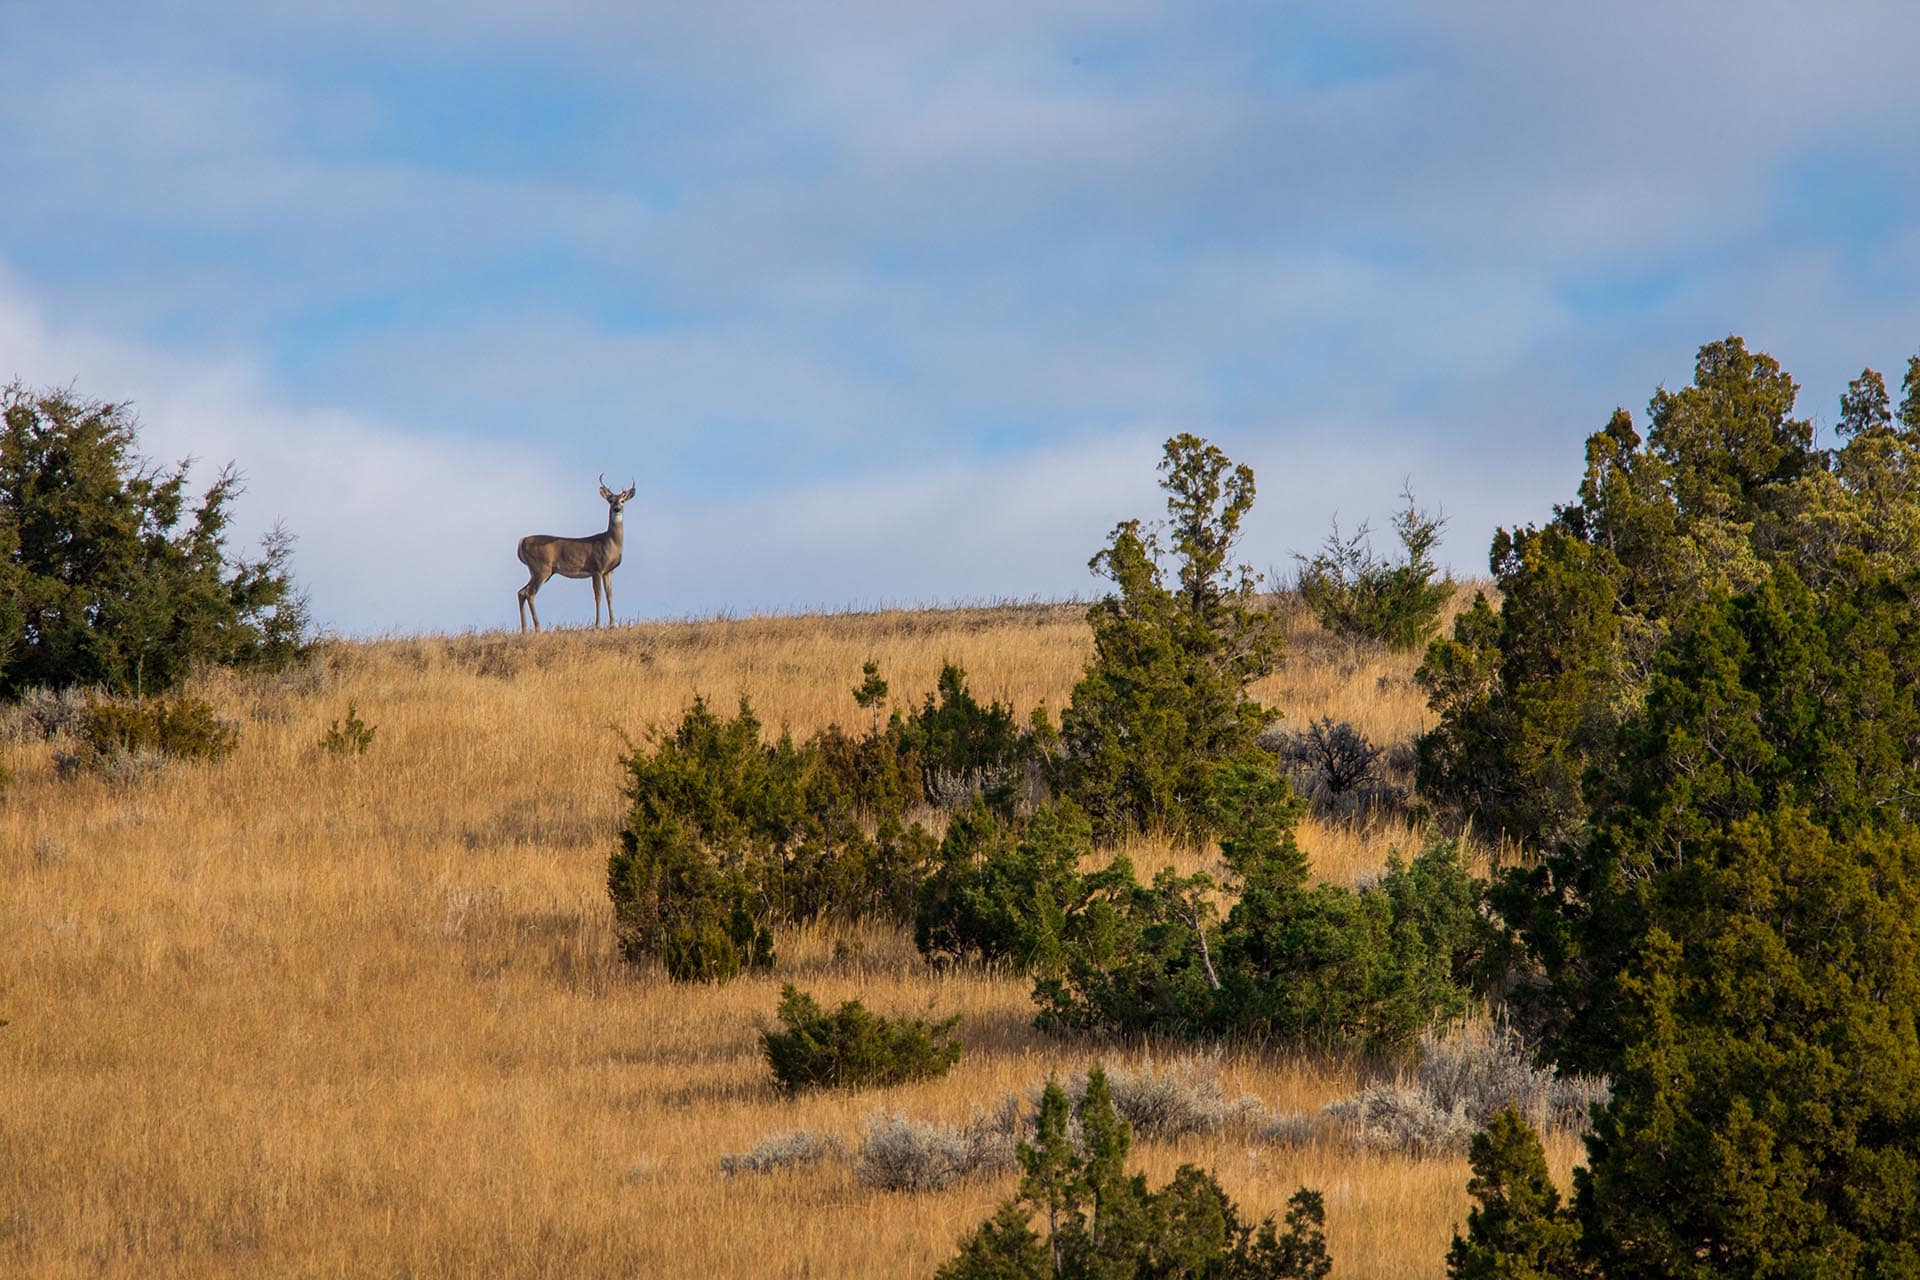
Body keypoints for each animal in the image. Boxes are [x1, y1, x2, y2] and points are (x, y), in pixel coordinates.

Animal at [516, 475, 635, 632]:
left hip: (538, 571)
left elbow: (610, 596)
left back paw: (524, 630)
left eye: (622, 500)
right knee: (530, 593)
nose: (617, 509)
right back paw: (538, 629)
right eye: (610, 500)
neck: (610, 542)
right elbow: (598, 596)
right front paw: (597, 626)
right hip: (541, 568)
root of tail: (521, 541)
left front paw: (612, 625)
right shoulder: (596, 568)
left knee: (521, 592)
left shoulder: (608, 571)